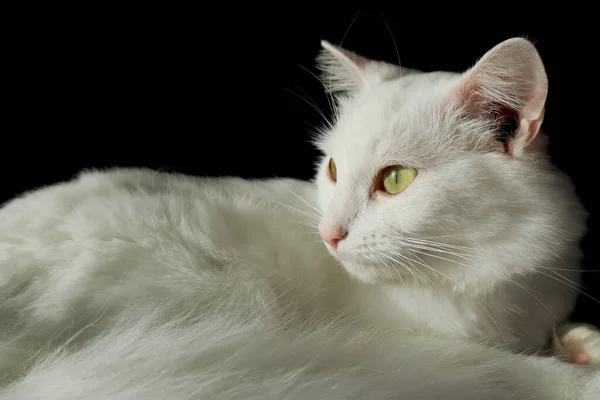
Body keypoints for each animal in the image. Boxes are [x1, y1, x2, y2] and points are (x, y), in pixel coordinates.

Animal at [0, 38, 596, 400]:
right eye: (332, 168)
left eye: (395, 179)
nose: (329, 234)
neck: (486, 275)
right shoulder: (429, 345)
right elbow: (516, 366)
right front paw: (576, 369)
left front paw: (578, 340)